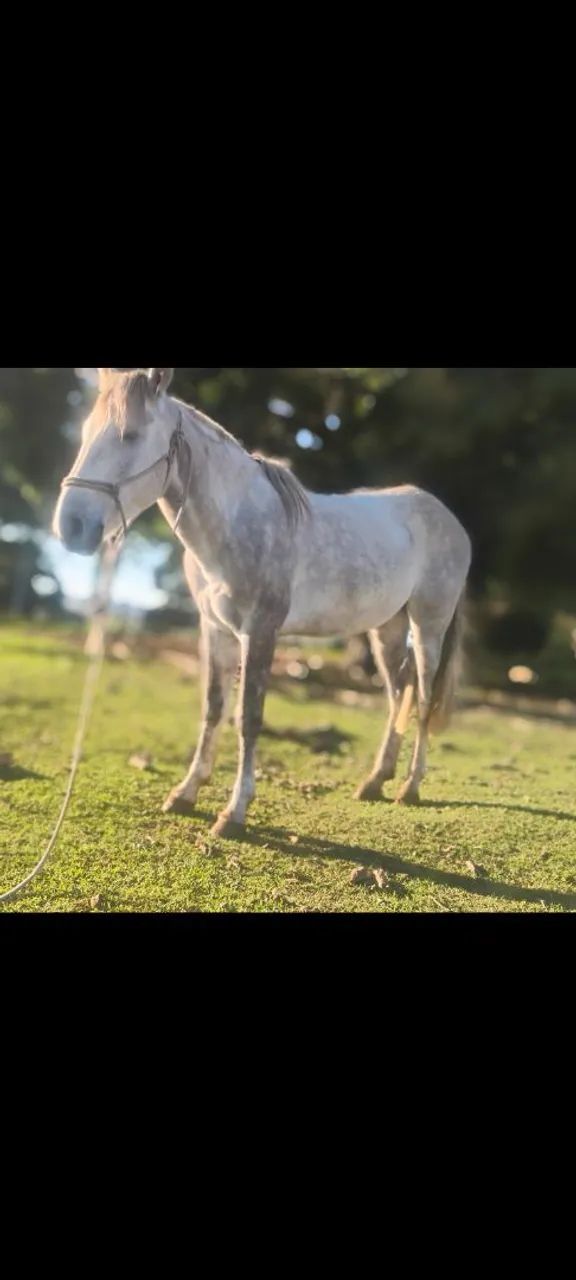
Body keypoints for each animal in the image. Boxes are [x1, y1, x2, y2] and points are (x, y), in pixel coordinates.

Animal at [53, 367, 472, 839]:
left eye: (130, 435)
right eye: (85, 432)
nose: (71, 527)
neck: (236, 521)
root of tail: (449, 520)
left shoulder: (260, 631)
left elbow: (249, 717)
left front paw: (234, 812)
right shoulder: (214, 630)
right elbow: (214, 708)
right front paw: (186, 792)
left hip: (428, 625)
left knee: (422, 697)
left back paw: (409, 788)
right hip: (387, 628)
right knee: (398, 692)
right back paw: (374, 782)